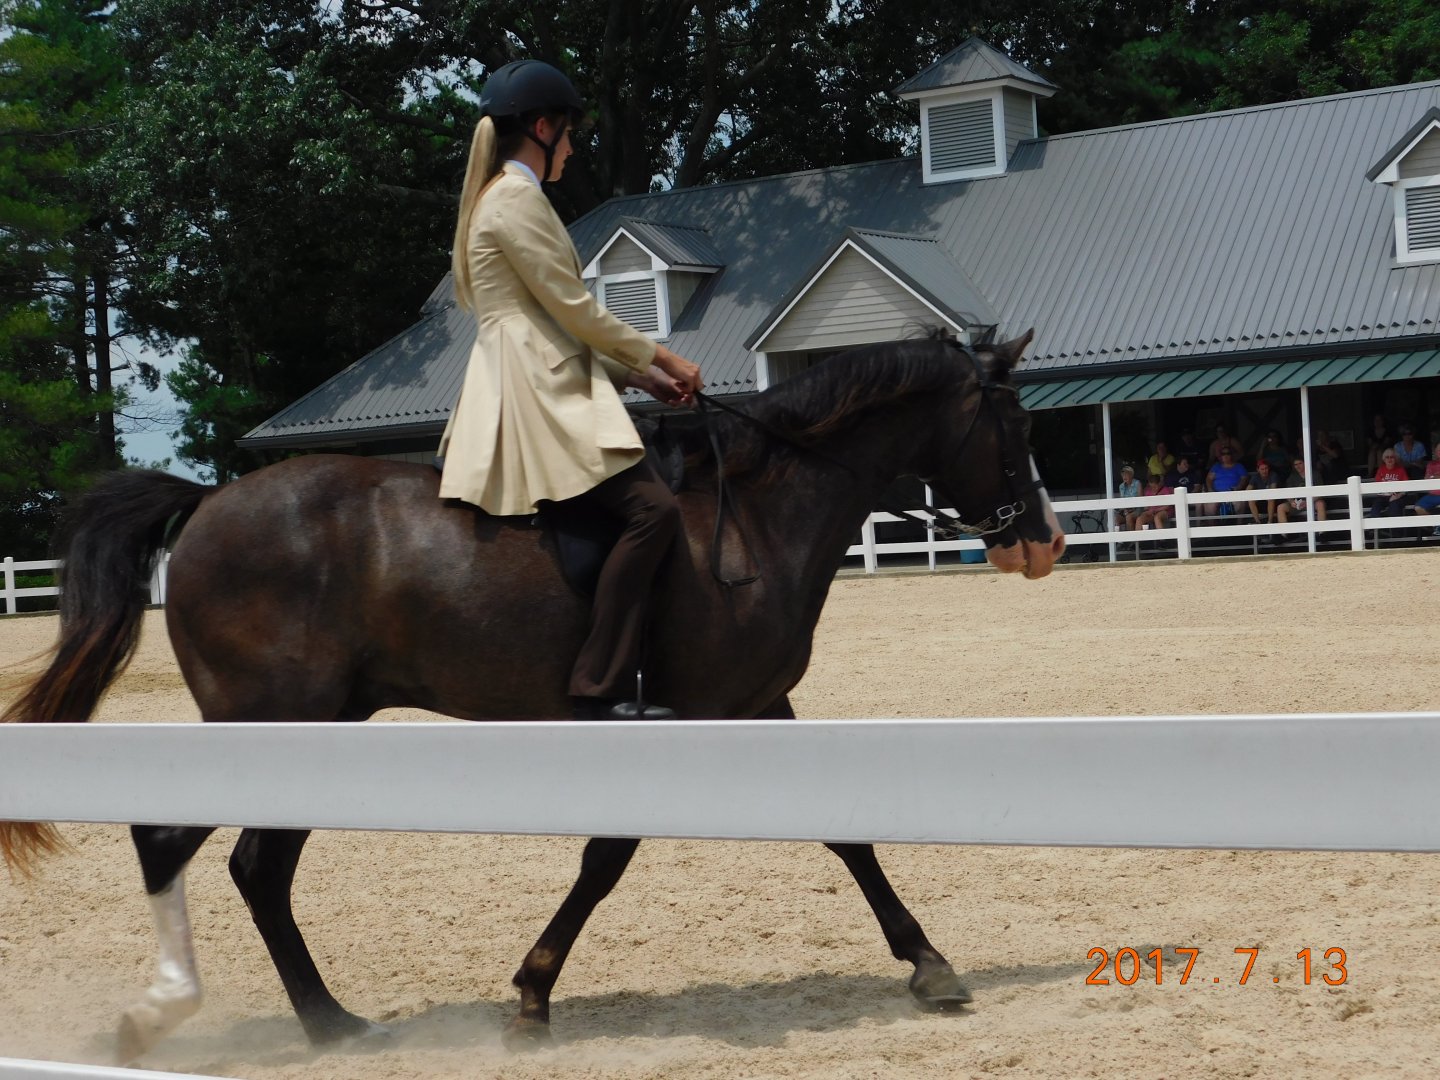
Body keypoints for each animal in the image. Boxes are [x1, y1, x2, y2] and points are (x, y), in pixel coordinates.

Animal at [0, 330, 1063, 1063]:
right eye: (1016, 427)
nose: (1044, 540)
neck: (756, 516)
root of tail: (208, 502)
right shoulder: (686, 717)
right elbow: (607, 858)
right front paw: (532, 995)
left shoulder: (759, 710)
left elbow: (846, 835)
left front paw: (929, 965)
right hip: (276, 724)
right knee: (192, 848)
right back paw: (203, 1016)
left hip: (318, 729)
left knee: (251, 869)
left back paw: (325, 1022)